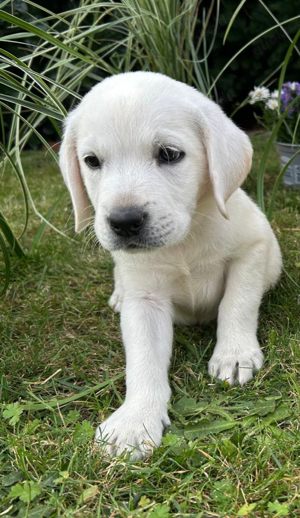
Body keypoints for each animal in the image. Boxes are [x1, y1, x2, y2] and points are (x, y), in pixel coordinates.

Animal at [59, 72, 282, 460]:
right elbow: (143, 359)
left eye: (169, 154)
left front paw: (234, 354)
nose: (124, 221)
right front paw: (135, 419)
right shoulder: (144, 299)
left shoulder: (253, 250)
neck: (184, 242)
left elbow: (236, 304)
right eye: (91, 161)